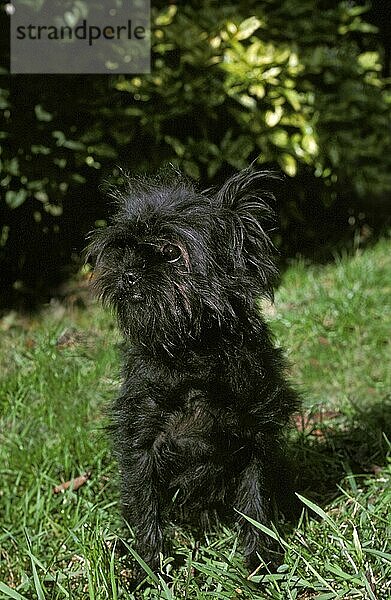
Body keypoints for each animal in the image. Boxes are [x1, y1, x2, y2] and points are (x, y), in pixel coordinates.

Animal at [87, 164, 298, 572]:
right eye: (124, 250)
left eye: (170, 252)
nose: (129, 273)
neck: (192, 354)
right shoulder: (142, 440)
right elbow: (144, 505)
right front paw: (150, 567)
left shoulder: (254, 434)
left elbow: (255, 501)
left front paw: (259, 562)